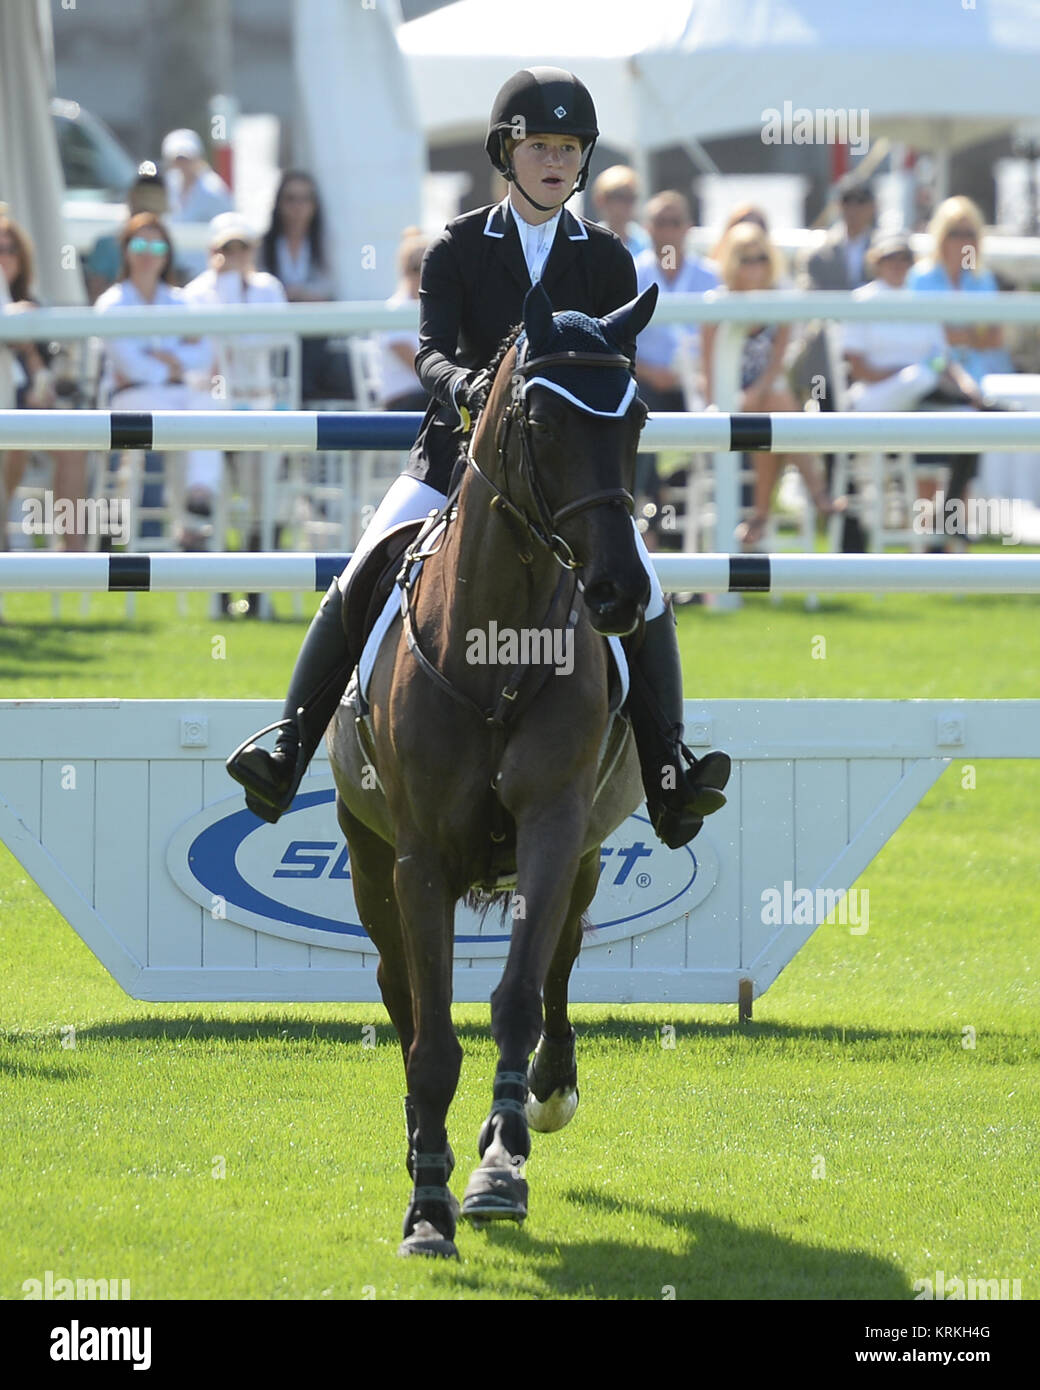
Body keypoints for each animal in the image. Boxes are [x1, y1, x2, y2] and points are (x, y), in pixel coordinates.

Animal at [329, 282, 659, 1262]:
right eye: (543, 423)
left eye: (638, 419)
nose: (620, 593)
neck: (494, 648)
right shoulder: (418, 859)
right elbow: (432, 1039)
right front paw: (428, 1206)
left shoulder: (553, 829)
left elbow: (517, 998)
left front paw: (499, 1164)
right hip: (370, 864)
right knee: (399, 993)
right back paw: (420, 1140)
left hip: (583, 855)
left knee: (559, 963)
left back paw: (544, 1094)